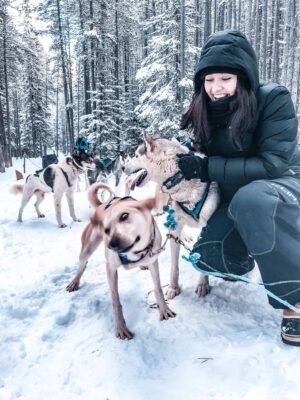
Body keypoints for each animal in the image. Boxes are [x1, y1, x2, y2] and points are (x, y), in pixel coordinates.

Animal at [65, 183, 176, 340]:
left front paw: (164, 309)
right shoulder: (110, 268)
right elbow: (115, 301)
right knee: (82, 264)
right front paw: (121, 327)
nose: (111, 244)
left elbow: (158, 289)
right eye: (106, 230)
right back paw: (74, 282)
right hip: (87, 249)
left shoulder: (153, 261)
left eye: (124, 216)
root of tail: (102, 205)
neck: (134, 253)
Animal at [123, 134, 220, 296]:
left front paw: (203, 284)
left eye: (136, 155)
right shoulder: (174, 230)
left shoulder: (208, 225)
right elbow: (174, 266)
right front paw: (173, 288)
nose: (122, 167)